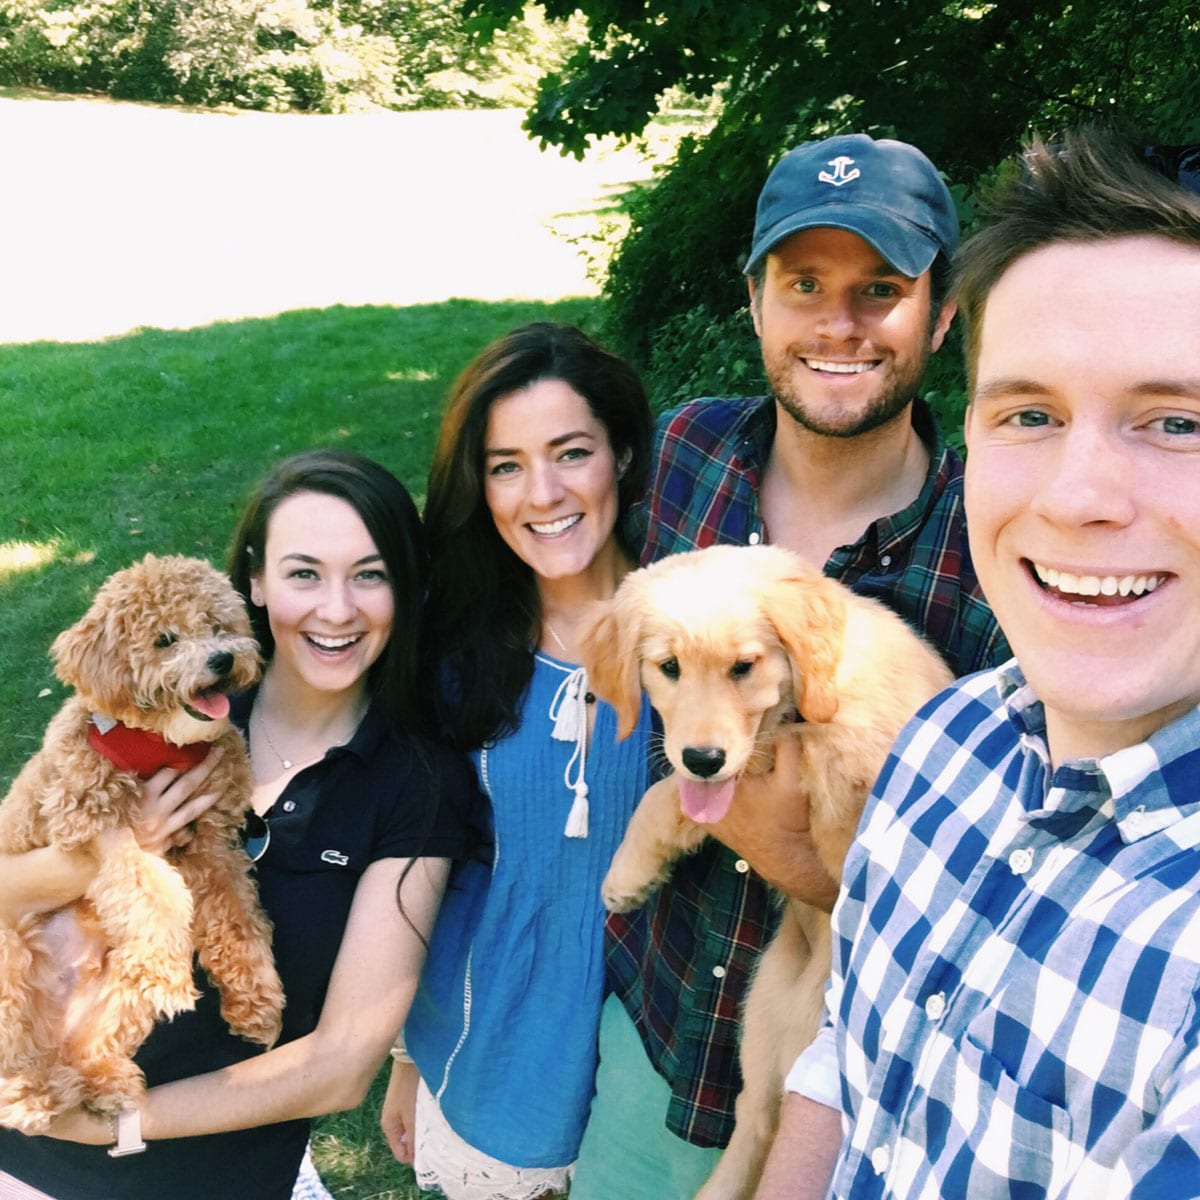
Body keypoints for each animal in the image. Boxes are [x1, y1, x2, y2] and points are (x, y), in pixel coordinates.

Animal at [0, 552, 283, 1132]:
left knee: (89, 1045)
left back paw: (103, 1084)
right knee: (18, 1058)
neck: (161, 745)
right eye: (164, 639)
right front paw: (172, 969)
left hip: (114, 990)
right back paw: (33, 1096)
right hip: (10, 962)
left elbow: (238, 920)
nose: (223, 658)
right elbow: (153, 891)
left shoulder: (211, 845)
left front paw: (256, 1002)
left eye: (218, 626)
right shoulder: (96, 827)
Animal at [576, 547, 950, 1200]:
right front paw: (630, 875)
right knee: (754, 1122)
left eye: (743, 666)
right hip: (760, 1022)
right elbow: (672, 794)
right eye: (668, 667)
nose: (704, 758)